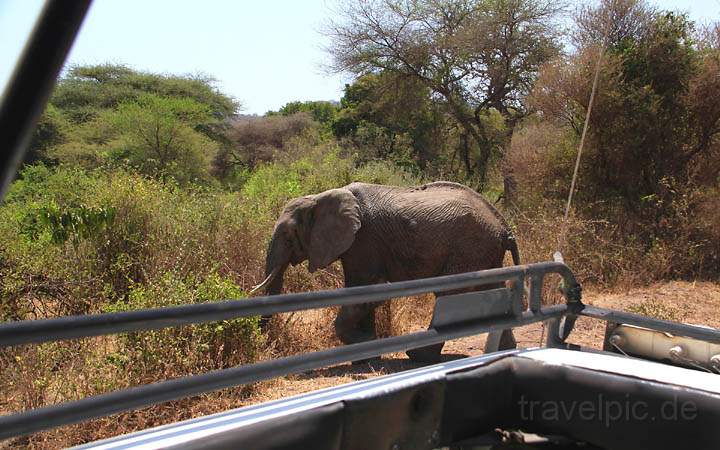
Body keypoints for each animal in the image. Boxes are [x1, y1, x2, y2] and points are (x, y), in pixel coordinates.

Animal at [255, 181, 524, 364]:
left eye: (288, 236)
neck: (322, 197)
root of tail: (504, 226)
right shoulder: (354, 245)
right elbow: (357, 290)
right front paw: (364, 357)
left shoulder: (364, 240)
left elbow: (366, 290)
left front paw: (367, 347)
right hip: (484, 252)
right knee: (491, 293)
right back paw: (505, 351)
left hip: (470, 248)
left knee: (450, 296)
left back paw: (417, 356)